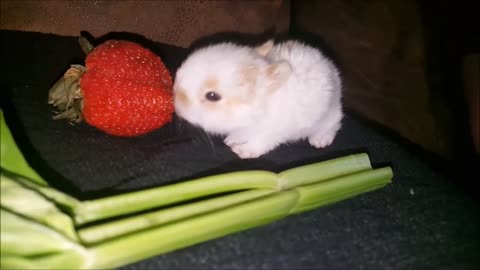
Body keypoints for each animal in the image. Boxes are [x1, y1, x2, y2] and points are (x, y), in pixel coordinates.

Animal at [174, 39, 344, 159]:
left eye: (212, 96)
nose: (176, 103)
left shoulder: (271, 132)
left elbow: (259, 144)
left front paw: (242, 151)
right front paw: (232, 140)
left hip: (328, 115)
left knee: (334, 122)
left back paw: (320, 140)